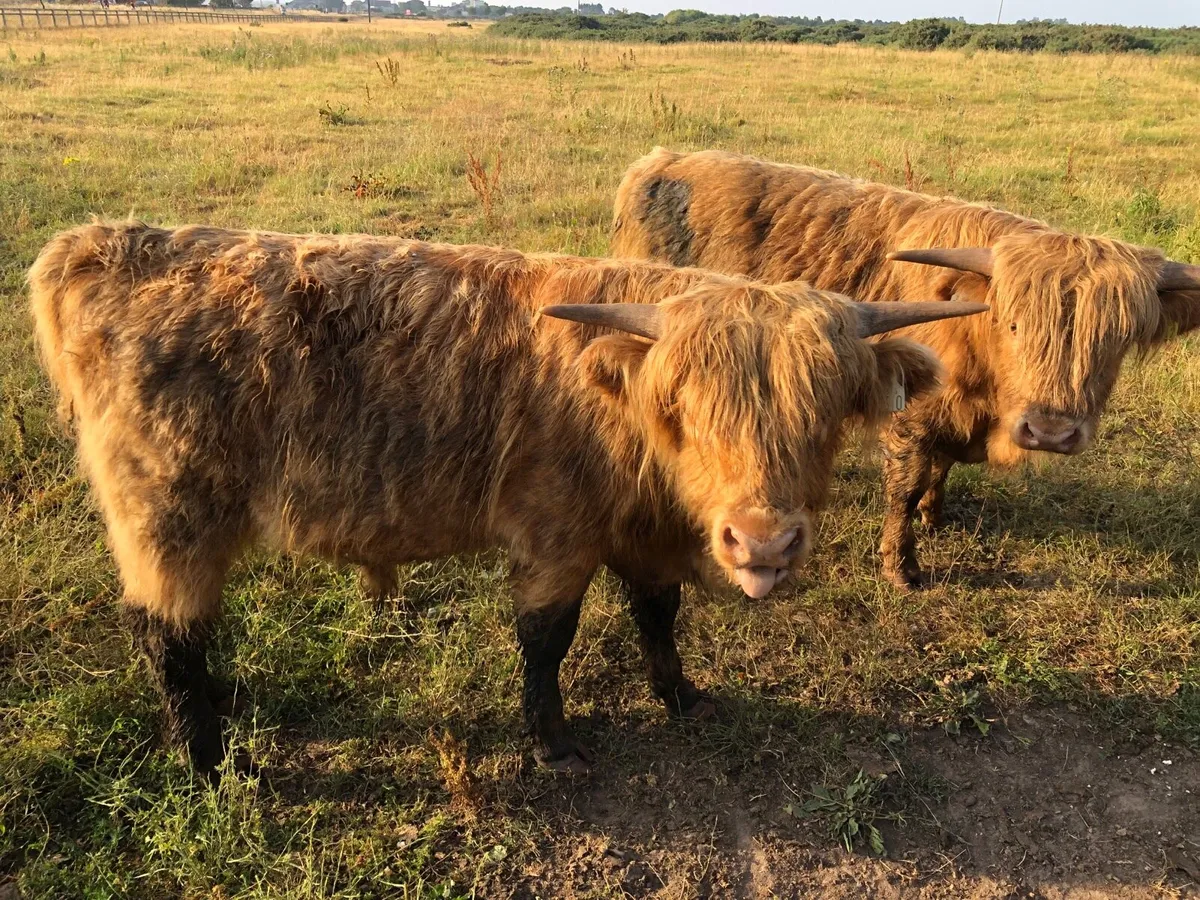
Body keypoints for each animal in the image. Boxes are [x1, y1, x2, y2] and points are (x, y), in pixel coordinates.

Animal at [28, 221, 985, 777]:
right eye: (683, 408)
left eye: (823, 411)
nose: (762, 545)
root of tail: (104, 245)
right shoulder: (555, 532)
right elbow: (546, 642)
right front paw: (552, 741)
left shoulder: (638, 533)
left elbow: (658, 614)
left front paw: (680, 694)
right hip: (166, 513)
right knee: (168, 636)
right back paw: (211, 762)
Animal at [612, 148, 1200, 590]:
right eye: (1012, 324)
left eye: (1114, 340)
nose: (1050, 431)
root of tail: (661, 161)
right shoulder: (910, 419)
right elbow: (906, 488)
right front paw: (902, 566)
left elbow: (940, 472)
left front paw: (935, 517)